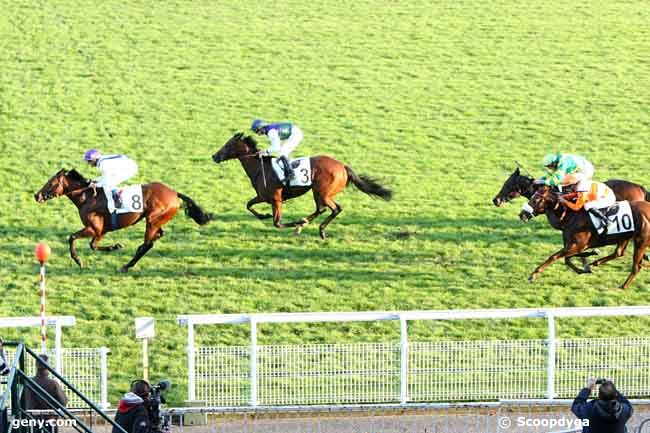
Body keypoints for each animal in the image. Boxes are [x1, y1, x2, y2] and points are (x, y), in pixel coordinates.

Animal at [34, 168, 213, 270]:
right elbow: (93, 245)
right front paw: (115, 246)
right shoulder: (101, 231)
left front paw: (78, 260)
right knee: (157, 236)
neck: (87, 197)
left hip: (152, 220)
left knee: (148, 244)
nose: (37, 195)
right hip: (156, 220)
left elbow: (72, 237)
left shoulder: (94, 228)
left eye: (51, 183)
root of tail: (174, 193)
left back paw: (127, 265)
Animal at [520, 184, 650, 288]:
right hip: (625, 237)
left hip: (640, 242)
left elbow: (554, 257)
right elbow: (568, 259)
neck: (570, 216)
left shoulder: (578, 245)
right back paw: (595, 263)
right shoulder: (573, 245)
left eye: (535, 200)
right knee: (619, 253)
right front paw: (585, 266)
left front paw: (533, 275)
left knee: (636, 266)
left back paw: (623, 286)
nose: (522, 214)